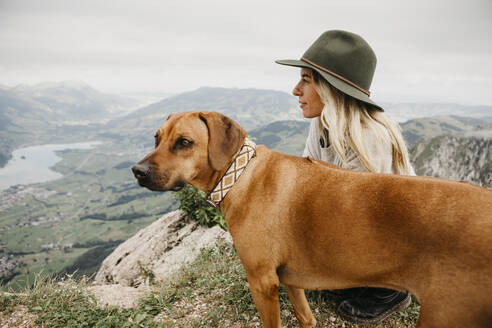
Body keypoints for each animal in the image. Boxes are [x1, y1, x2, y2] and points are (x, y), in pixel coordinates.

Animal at [133, 111, 492, 326]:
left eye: (184, 142)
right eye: (156, 138)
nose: (137, 171)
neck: (240, 174)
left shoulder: (262, 281)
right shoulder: (290, 277)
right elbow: (305, 316)